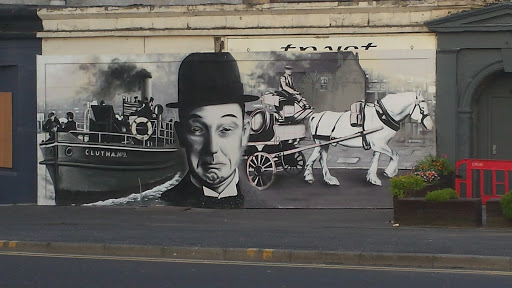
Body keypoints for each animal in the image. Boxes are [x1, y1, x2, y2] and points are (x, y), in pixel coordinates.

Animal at [302, 92, 434, 187]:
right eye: (422, 108)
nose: (430, 126)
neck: (382, 116)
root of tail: (316, 116)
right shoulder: (380, 145)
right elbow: (395, 154)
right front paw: (389, 172)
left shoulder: (378, 145)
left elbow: (375, 160)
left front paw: (373, 178)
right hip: (323, 143)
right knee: (322, 159)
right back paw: (326, 179)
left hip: (321, 143)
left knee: (315, 158)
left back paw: (313, 178)